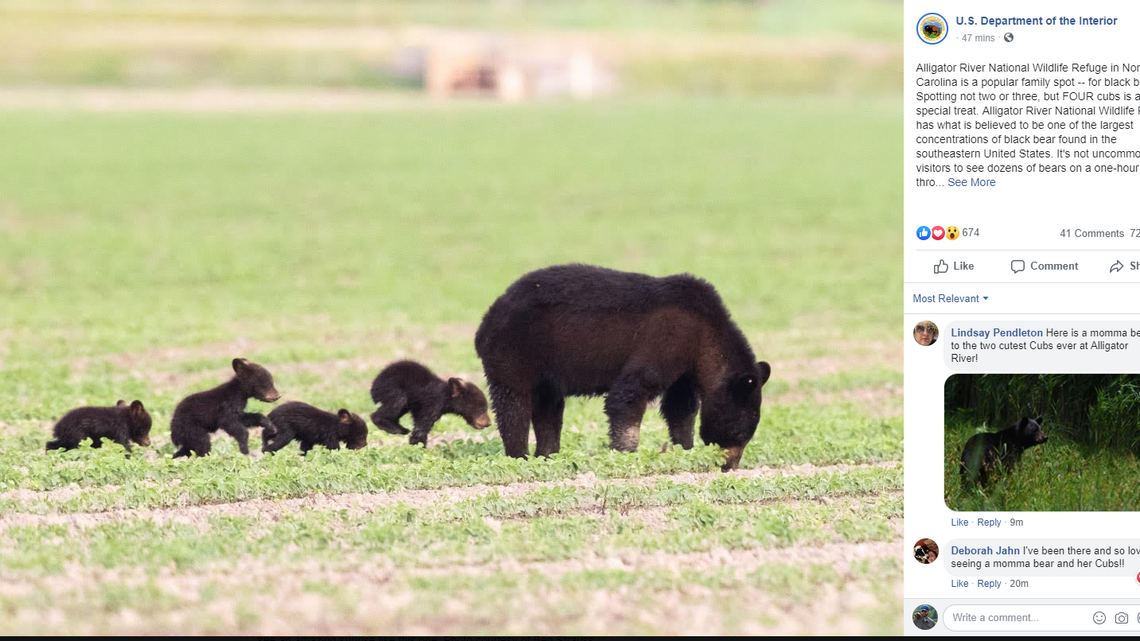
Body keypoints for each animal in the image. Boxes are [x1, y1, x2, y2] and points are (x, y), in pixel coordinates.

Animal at [474, 263, 771, 471]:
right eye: (738, 432)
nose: (729, 466)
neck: (705, 336)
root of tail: (486, 322)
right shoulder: (666, 340)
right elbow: (629, 394)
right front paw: (626, 454)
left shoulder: (685, 369)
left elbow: (680, 408)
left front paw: (685, 449)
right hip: (516, 351)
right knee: (514, 405)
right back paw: (519, 455)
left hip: (544, 368)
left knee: (548, 409)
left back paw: (548, 454)